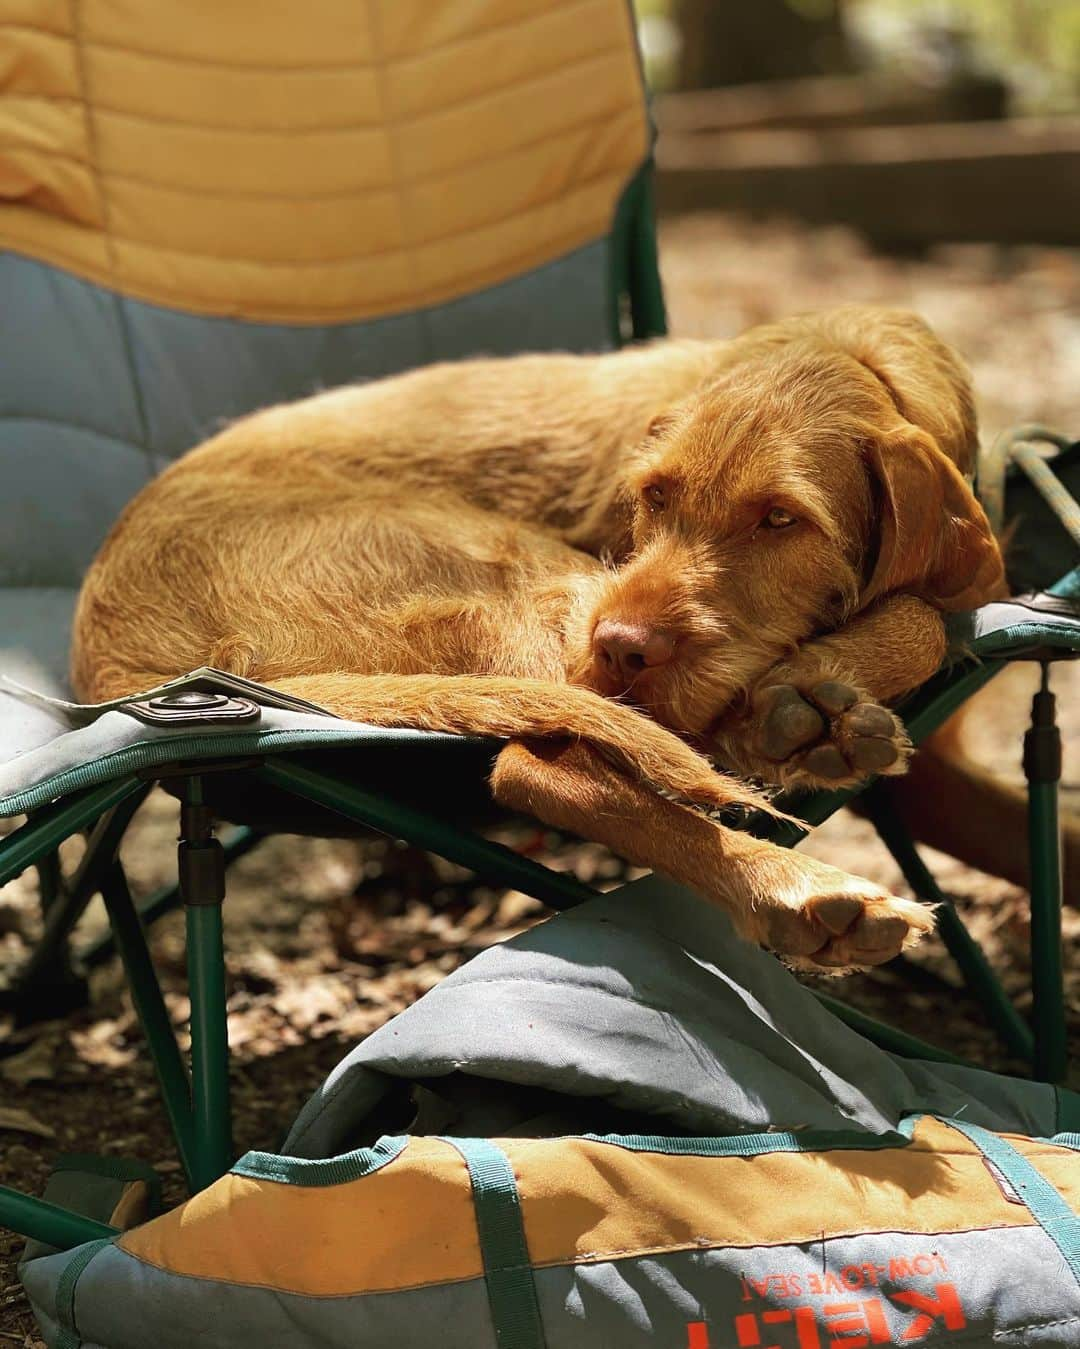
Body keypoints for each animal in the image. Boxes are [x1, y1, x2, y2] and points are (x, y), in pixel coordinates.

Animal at [73, 308, 1003, 971]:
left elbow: (928, 617)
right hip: (523, 579)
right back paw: (796, 883)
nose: (623, 647)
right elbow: (922, 618)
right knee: (540, 762)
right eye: (653, 495)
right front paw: (804, 705)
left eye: (781, 519)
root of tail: (110, 659)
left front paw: (819, 698)